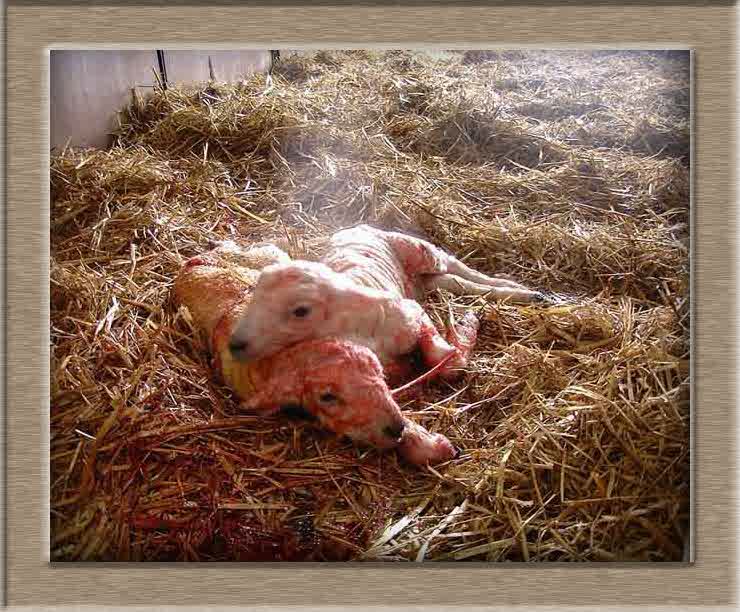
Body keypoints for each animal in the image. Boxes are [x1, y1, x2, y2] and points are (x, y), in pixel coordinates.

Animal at [228, 225, 540, 378]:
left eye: (300, 311)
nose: (235, 345)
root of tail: (357, 226)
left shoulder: (411, 314)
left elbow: (442, 360)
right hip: (420, 281)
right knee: (451, 281)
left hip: (418, 249)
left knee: (457, 266)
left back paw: (521, 290)